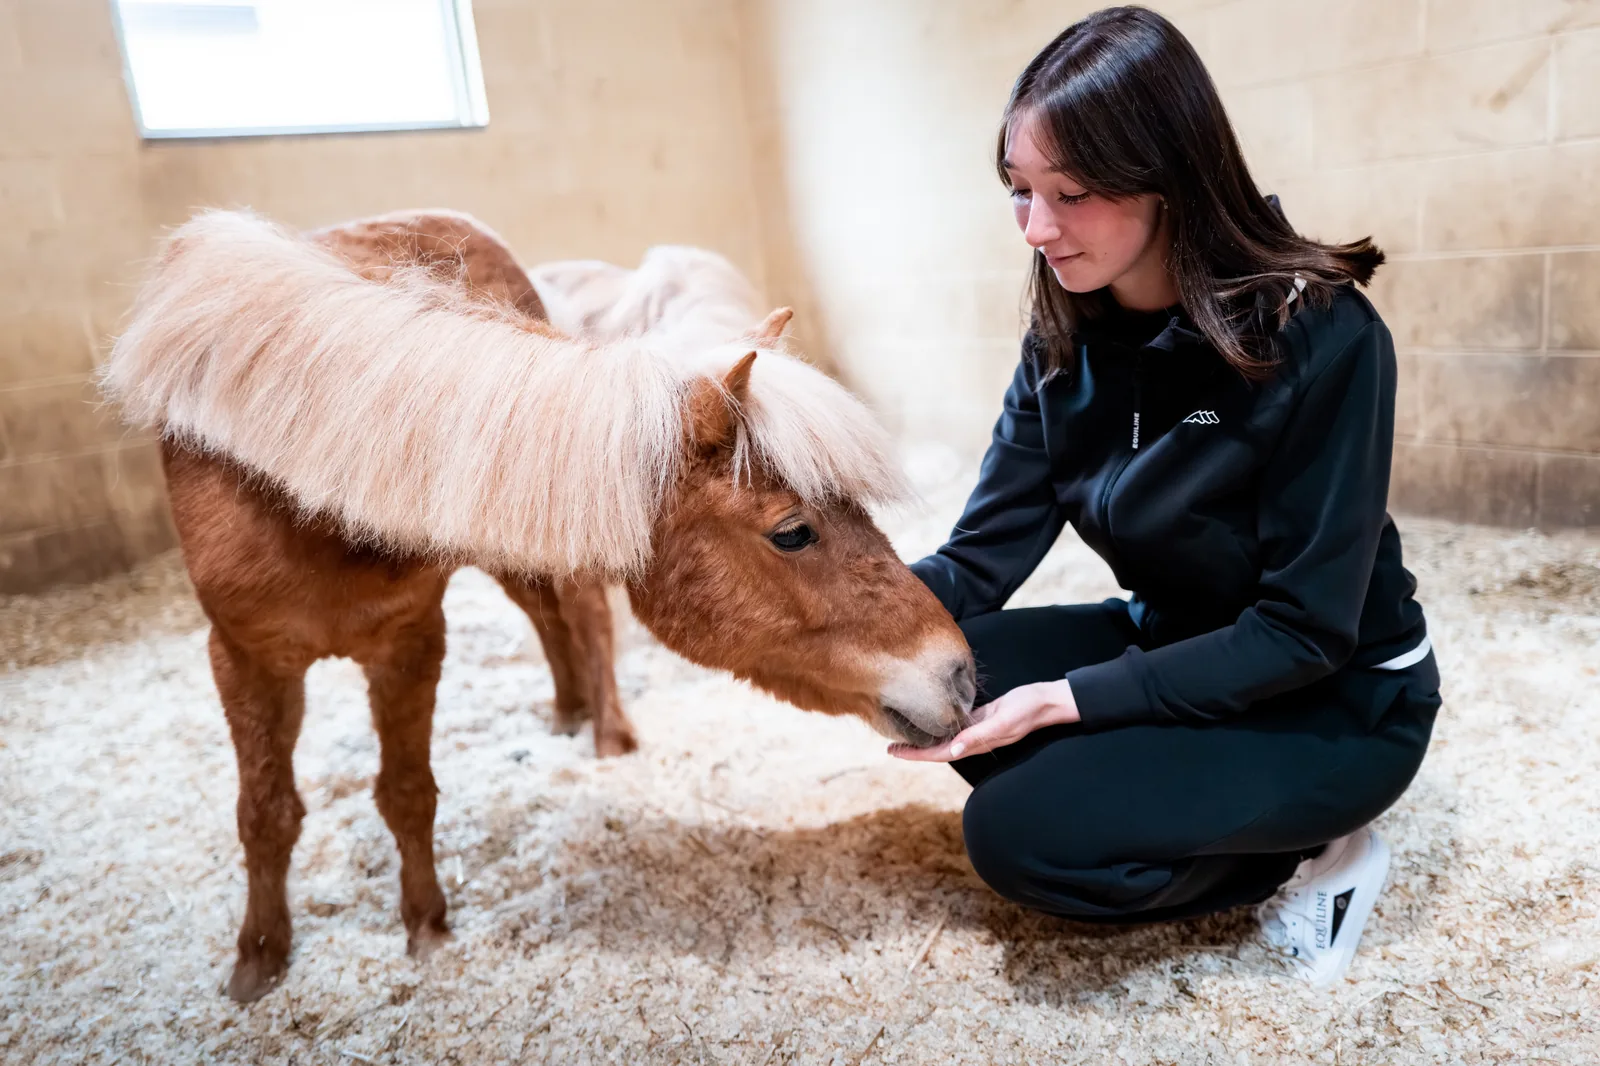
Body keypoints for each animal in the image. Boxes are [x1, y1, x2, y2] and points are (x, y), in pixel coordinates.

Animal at [102, 209, 976, 1003]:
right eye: (793, 532)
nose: (962, 675)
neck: (298, 476)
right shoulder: (243, 657)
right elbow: (265, 811)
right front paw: (258, 961)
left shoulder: (409, 641)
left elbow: (406, 790)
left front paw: (425, 928)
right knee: (553, 617)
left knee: (574, 616)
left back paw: (600, 728)